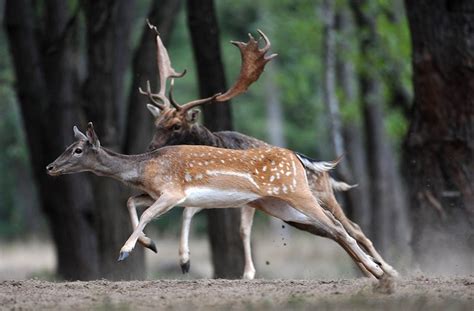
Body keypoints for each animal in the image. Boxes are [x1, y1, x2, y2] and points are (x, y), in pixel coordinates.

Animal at [46, 122, 386, 280]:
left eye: (78, 150)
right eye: (67, 146)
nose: (50, 167)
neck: (143, 169)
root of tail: (297, 157)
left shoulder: (172, 192)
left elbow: (144, 213)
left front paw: (126, 251)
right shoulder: (155, 194)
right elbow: (130, 202)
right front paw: (150, 244)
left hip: (298, 192)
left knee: (342, 229)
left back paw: (380, 273)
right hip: (282, 207)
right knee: (335, 230)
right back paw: (379, 274)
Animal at [134, 23, 400, 280]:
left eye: (176, 125)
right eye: (157, 123)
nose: (150, 148)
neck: (216, 143)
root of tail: (322, 170)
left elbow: (238, 227)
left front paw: (246, 272)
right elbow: (190, 211)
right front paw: (182, 260)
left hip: (322, 196)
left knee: (353, 227)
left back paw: (388, 269)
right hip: (296, 214)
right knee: (334, 230)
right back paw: (371, 270)